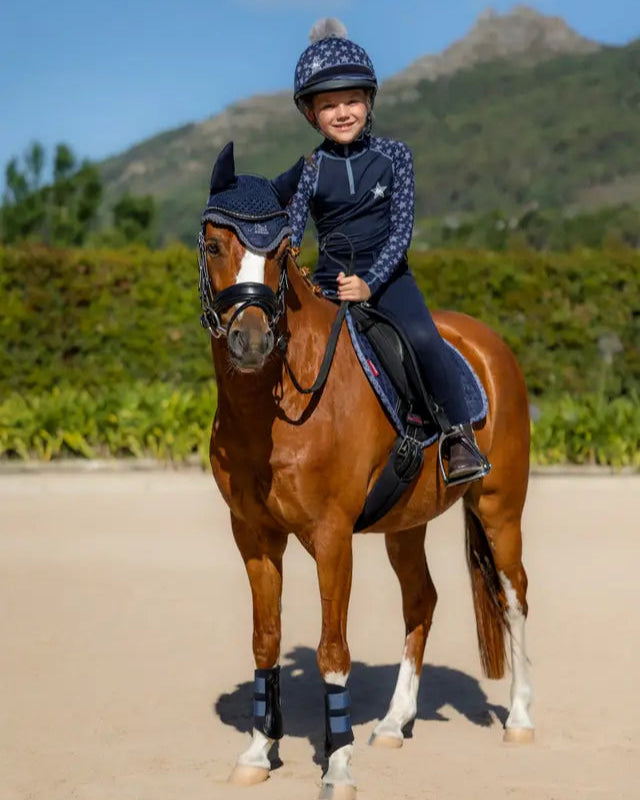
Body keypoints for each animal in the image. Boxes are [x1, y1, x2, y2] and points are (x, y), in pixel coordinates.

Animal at [198, 143, 533, 800]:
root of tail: (489, 345)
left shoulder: (331, 537)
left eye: (280, 250)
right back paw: (394, 723)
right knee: (422, 600)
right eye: (215, 244)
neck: (274, 408)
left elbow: (333, 650)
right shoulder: (253, 536)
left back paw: (521, 719)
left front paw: (338, 765)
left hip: (499, 508)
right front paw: (257, 752)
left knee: (515, 597)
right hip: (407, 525)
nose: (251, 341)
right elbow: (265, 639)